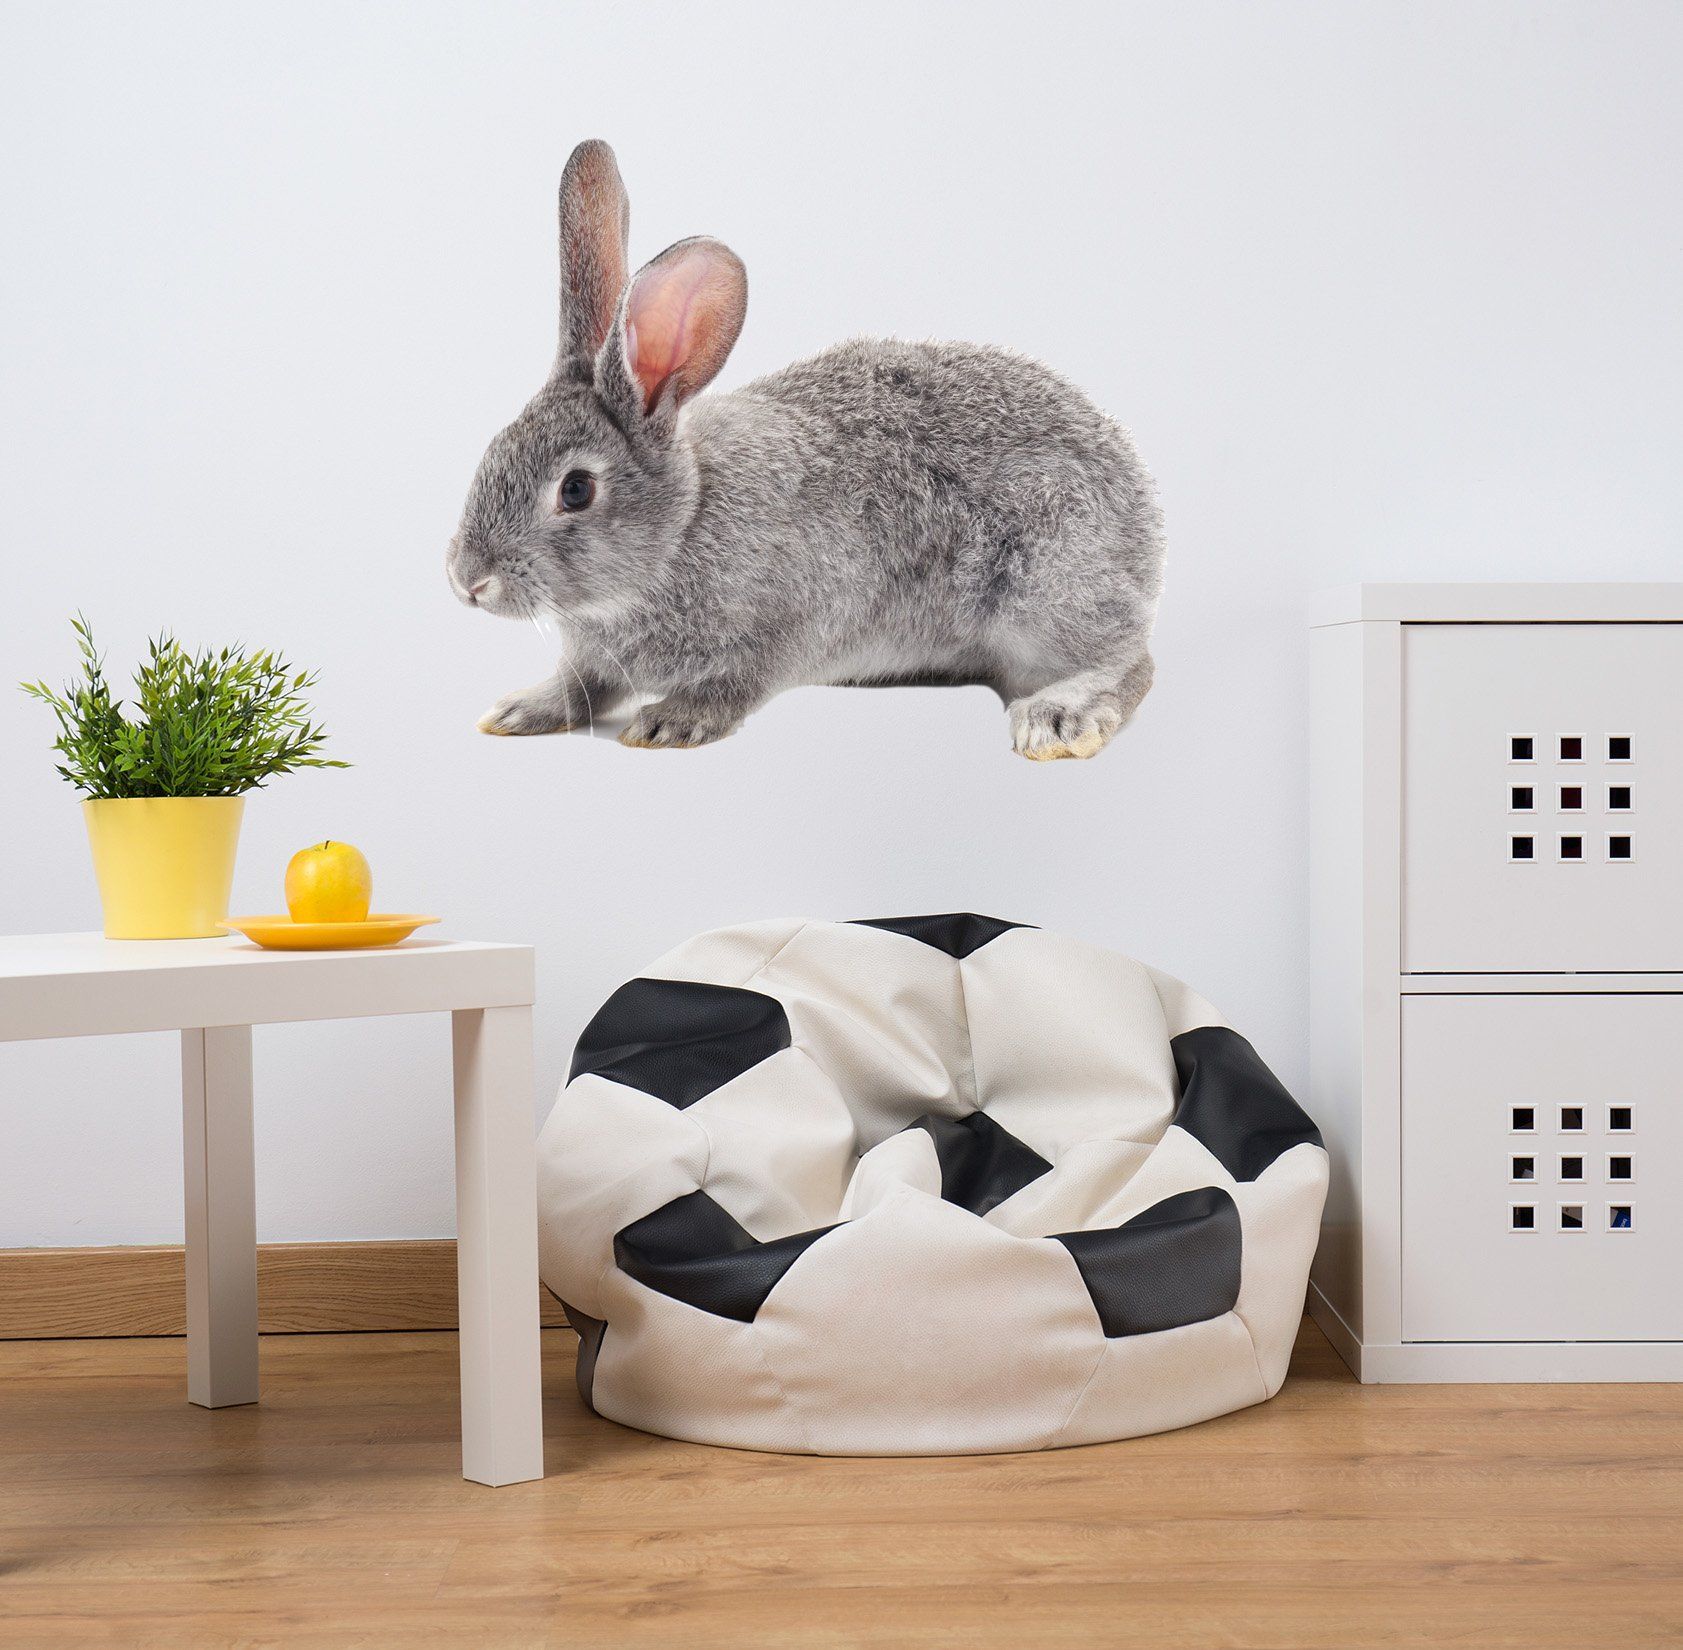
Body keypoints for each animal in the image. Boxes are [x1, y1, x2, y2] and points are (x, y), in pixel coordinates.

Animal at [446, 139, 1165, 760]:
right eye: (493, 449)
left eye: (576, 489)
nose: (467, 581)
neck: (682, 525)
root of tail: (1143, 534)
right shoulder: (595, 658)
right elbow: (582, 684)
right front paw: (523, 708)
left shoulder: (786, 625)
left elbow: (735, 684)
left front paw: (672, 721)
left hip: (1045, 587)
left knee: (1128, 660)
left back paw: (1059, 716)